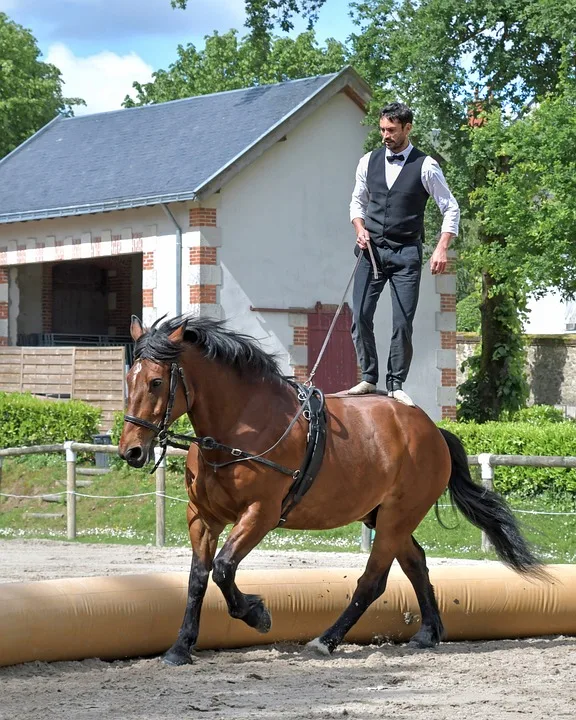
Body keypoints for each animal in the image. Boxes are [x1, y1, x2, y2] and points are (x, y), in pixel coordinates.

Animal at [120, 316, 544, 664]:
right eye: (129, 380)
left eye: (156, 382)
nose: (131, 451)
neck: (238, 427)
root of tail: (432, 430)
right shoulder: (202, 517)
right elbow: (198, 579)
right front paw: (180, 648)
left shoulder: (260, 513)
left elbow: (224, 569)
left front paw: (257, 614)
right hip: (385, 518)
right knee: (416, 563)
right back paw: (428, 633)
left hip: (396, 517)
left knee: (373, 581)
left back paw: (326, 640)